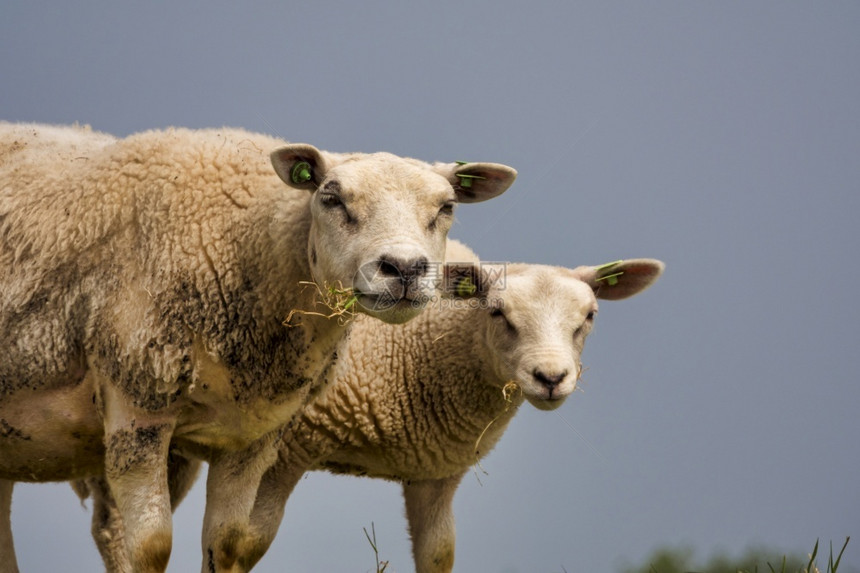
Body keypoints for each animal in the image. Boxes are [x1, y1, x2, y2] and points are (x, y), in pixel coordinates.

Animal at [0, 122, 512, 572]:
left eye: (446, 207)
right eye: (331, 198)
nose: (404, 268)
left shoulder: (253, 431)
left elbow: (228, 544)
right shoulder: (137, 403)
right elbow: (149, 546)